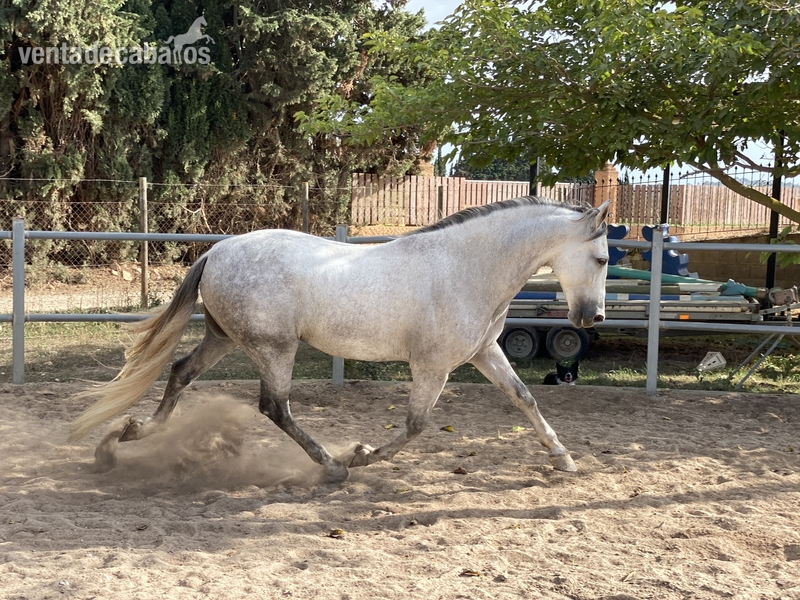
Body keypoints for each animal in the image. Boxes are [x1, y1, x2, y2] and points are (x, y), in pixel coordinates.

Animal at [70, 197, 610, 482]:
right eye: (604, 258)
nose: (592, 317)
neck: (465, 268)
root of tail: (216, 252)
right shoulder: (432, 367)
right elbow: (415, 426)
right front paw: (362, 454)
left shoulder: (483, 352)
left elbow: (524, 399)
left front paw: (564, 459)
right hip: (274, 348)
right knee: (274, 407)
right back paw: (332, 466)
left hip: (225, 339)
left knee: (181, 372)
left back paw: (124, 438)